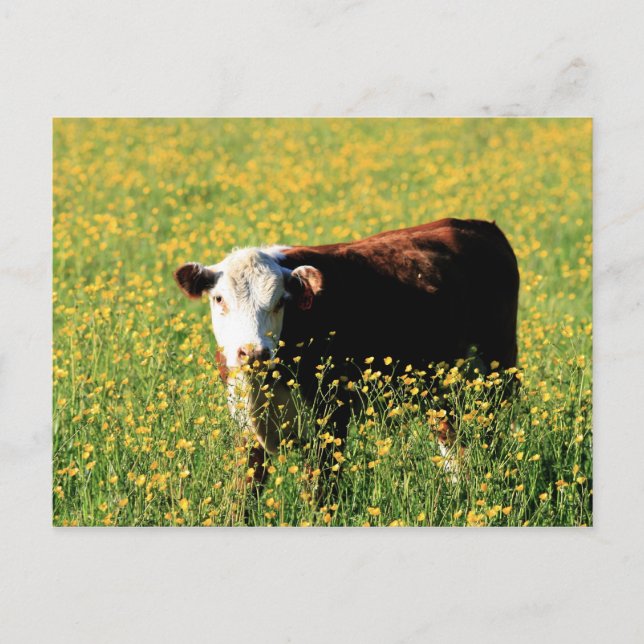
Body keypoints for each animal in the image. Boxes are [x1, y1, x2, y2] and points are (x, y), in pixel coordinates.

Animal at [174, 218, 519, 494]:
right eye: (219, 299)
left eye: (280, 301)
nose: (253, 352)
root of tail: (473, 224)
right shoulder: (245, 425)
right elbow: (243, 494)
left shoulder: (330, 417)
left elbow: (320, 492)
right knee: (454, 443)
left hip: (499, 372)